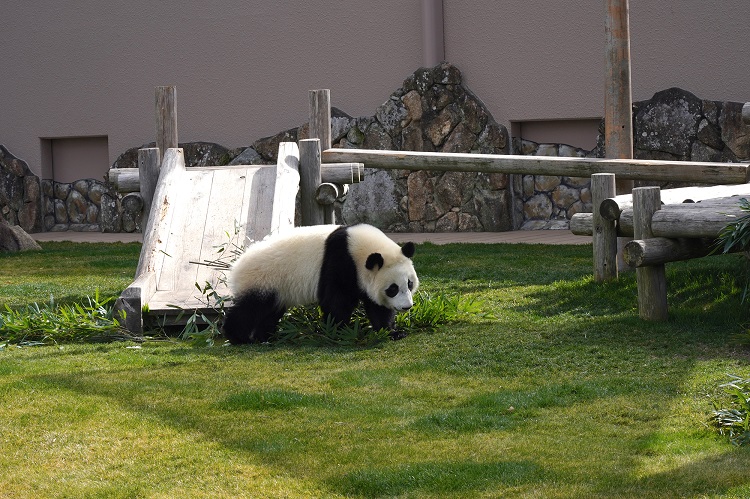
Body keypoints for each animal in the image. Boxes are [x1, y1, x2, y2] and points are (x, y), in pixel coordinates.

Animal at [226, 226, 420, 346]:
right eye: (393, 288)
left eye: (409, 283)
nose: (407, 306)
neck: (356, 247)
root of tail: (236, 266)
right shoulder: (339, 261)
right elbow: (336, 300)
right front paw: (340, 330)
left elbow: (377, 307)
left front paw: (393, 332)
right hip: (263, 279)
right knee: (251, 308)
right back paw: (238, 337)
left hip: (277, 288)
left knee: (270, 311)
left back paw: (267, 337)